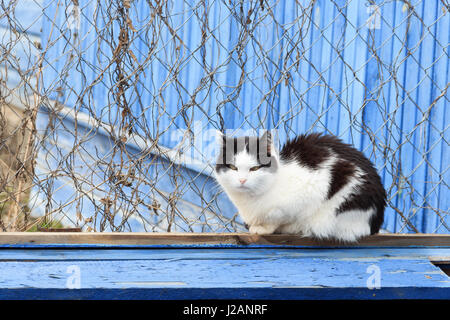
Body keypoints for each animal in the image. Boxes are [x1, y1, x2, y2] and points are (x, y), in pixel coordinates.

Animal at [215, 131, 386, 242]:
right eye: (233, 167)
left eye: (255, 168)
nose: (242, 180)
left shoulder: (309, 189)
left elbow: (277, 217)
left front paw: (263, 228)